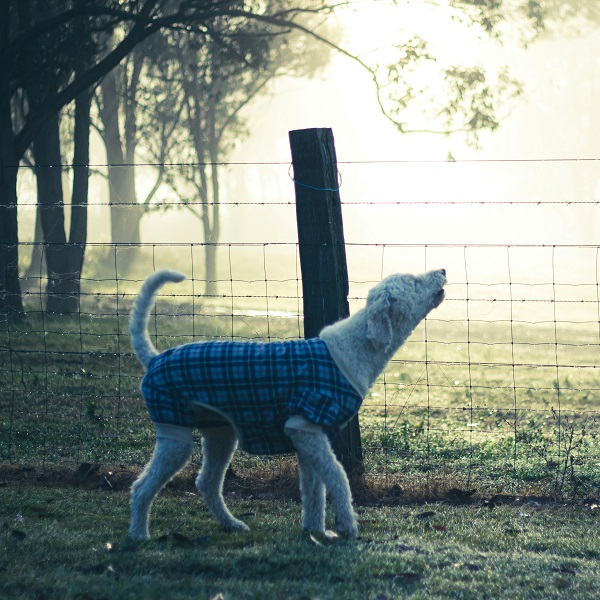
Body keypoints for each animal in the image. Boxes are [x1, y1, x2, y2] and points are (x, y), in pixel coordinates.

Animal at [127, 268, 446, 540]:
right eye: (413, 281)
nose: (443, 270)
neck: (353, 349)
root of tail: (154, 358)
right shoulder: (305, 428)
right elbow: (338, 477)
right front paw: (347, 527)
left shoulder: (310, 439)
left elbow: (314, 491)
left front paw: (316, 532)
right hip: (175, 434)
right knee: (141, 487)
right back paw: (139, 534)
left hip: (220, 434)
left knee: (206, 482)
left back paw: (231, 524)